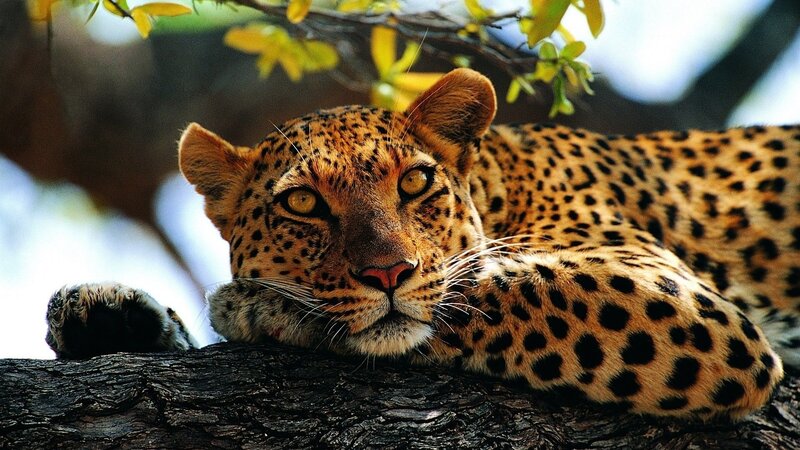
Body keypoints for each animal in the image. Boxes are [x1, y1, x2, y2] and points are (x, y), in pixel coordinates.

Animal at [45, 68, 800, 420]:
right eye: (302, 203)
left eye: (413, 182)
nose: (387, 273)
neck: (506, 183)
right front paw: (108, 313)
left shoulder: (682, 302)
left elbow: (484, 292)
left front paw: (255, 305)